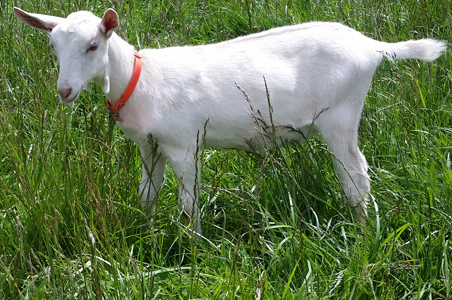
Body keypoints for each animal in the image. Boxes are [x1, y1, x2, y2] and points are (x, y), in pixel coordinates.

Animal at [15, 7, 448, 236]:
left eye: (93, 46)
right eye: (53, 45)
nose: (65, 91)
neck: (141, 79)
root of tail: (372, 47)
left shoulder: (184, 144)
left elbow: (188, 205)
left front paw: (191, 247)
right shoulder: (150, 145)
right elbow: (147, 195)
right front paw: (146, 232)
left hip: (340, 114)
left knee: (356, 175)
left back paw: (361, 230)